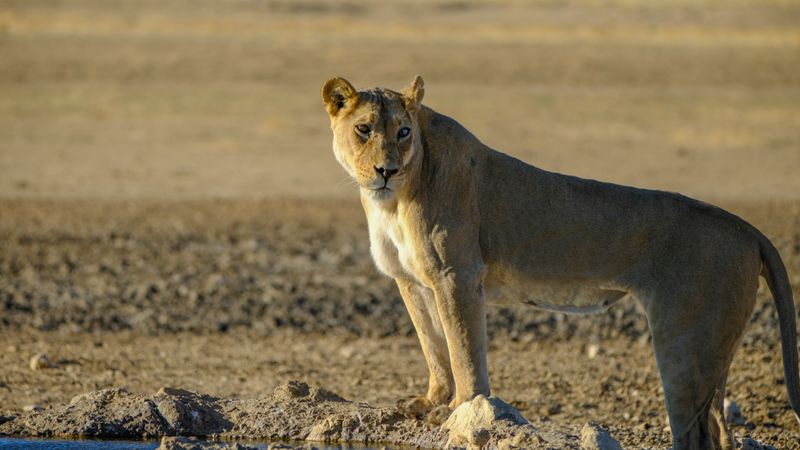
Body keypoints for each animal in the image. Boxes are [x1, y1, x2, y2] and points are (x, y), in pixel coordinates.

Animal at [321, 75, 799, 450]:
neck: (391, 201)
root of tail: (747, 228)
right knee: (719, 431)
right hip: (712, 350)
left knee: (696, 433)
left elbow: (464, 351)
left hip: (685, 342)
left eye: (403, 132)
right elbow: (434, 347)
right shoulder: (412, 281)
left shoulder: (457, 275)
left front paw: (460, 408)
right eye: (363, 129)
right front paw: (431, 402)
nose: (386, 170)